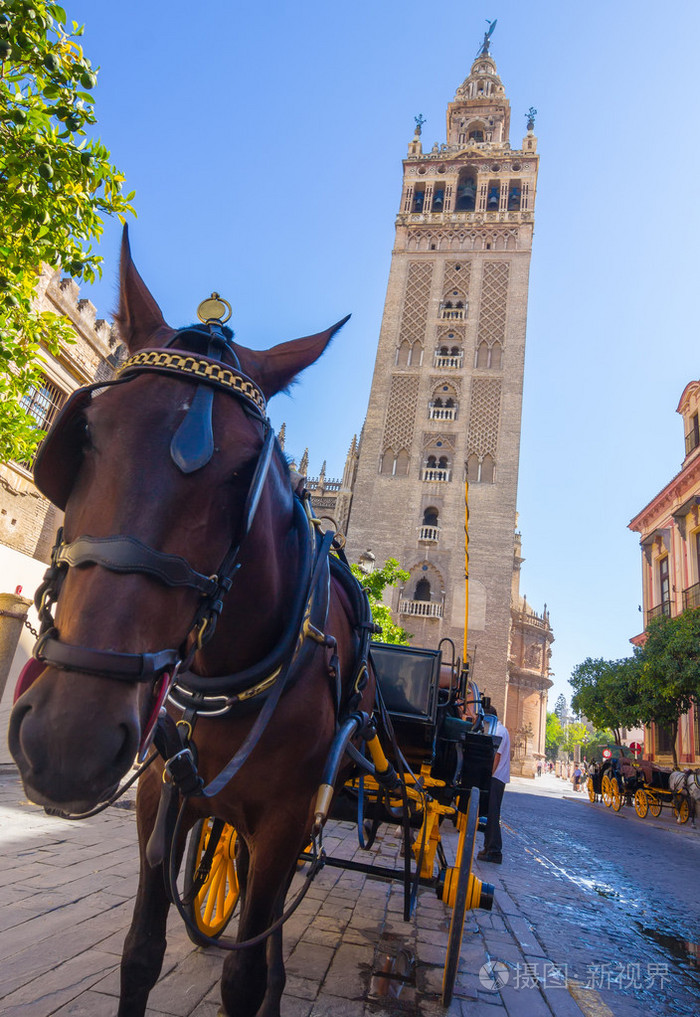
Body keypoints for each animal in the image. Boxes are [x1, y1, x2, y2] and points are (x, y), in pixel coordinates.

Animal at [8, 233, 374, 1016]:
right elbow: (140, 953)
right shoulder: (158, 792)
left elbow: (243, 975)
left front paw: (257, 983)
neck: (222, 670)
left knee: (266, 935)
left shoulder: (286, 818)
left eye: (245, 474)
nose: (67, 739)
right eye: (84, 435)